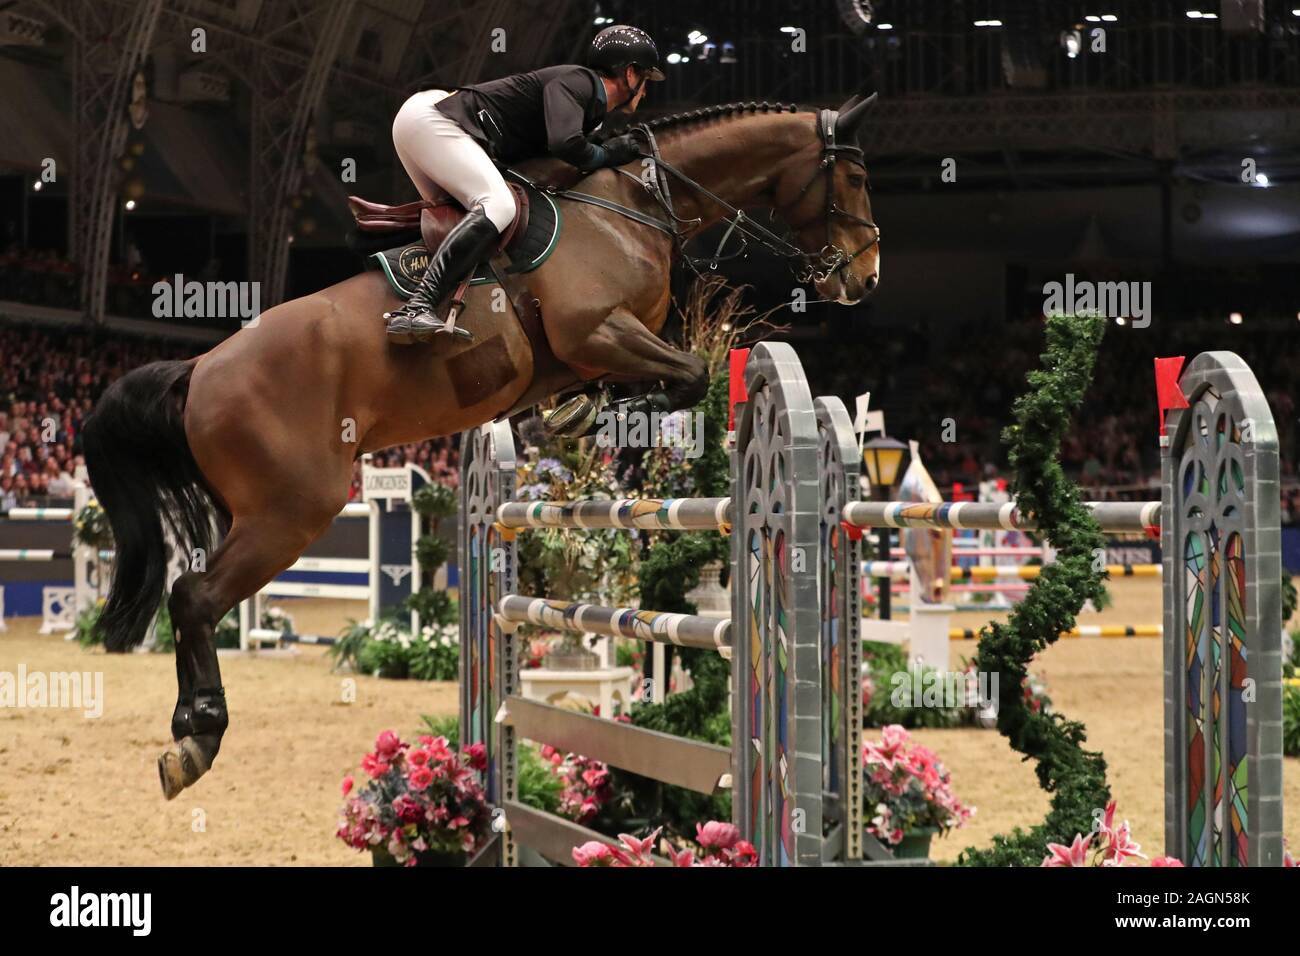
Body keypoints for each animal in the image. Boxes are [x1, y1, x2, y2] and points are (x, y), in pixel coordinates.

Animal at [83, 95, 883, 801]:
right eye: (854, 176)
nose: (865, 275)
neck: (631, 204)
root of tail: (198, 369)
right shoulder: (597, 329)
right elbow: (691, 375)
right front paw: (601, 415)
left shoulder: (597, 349)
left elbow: (654, 379)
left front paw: (578, 411)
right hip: (293, 510)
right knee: (194, 598)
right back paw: (197, 737)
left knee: (196, 599)